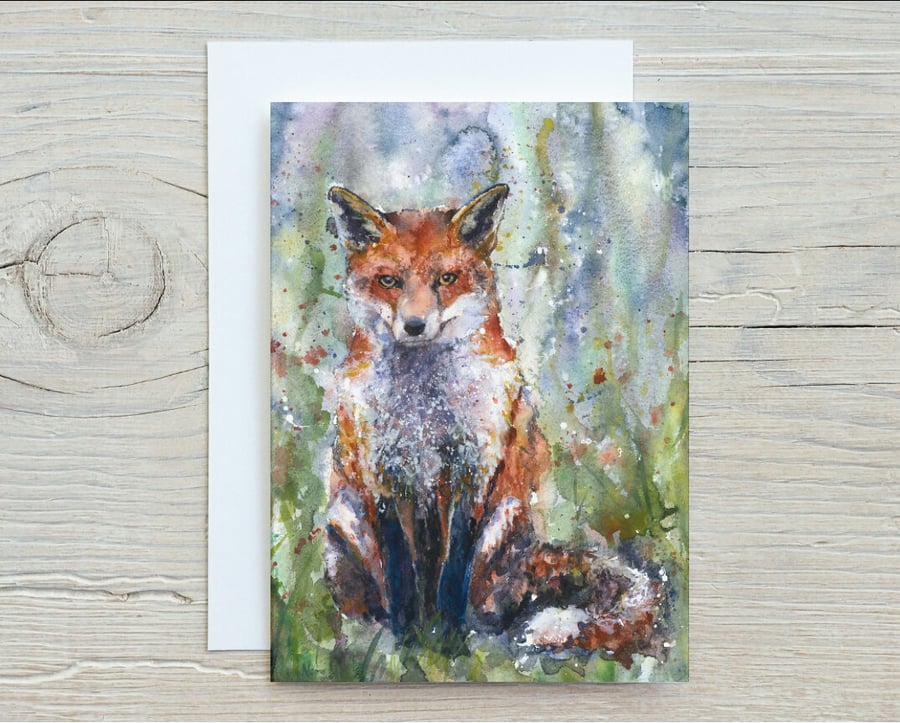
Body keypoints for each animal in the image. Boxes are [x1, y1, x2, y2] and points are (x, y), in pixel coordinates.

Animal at [322, 184, 667, 665]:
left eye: (447, 279)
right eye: (389, 281)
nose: (414, 325)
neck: (425, 406)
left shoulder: (474, 472)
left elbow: (453, 574)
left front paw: (447, 644)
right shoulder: (383, 476)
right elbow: (400, 576)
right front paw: (408, 645)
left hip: (504, 521)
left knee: (495, 607)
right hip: (346, 520)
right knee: (372, 601)